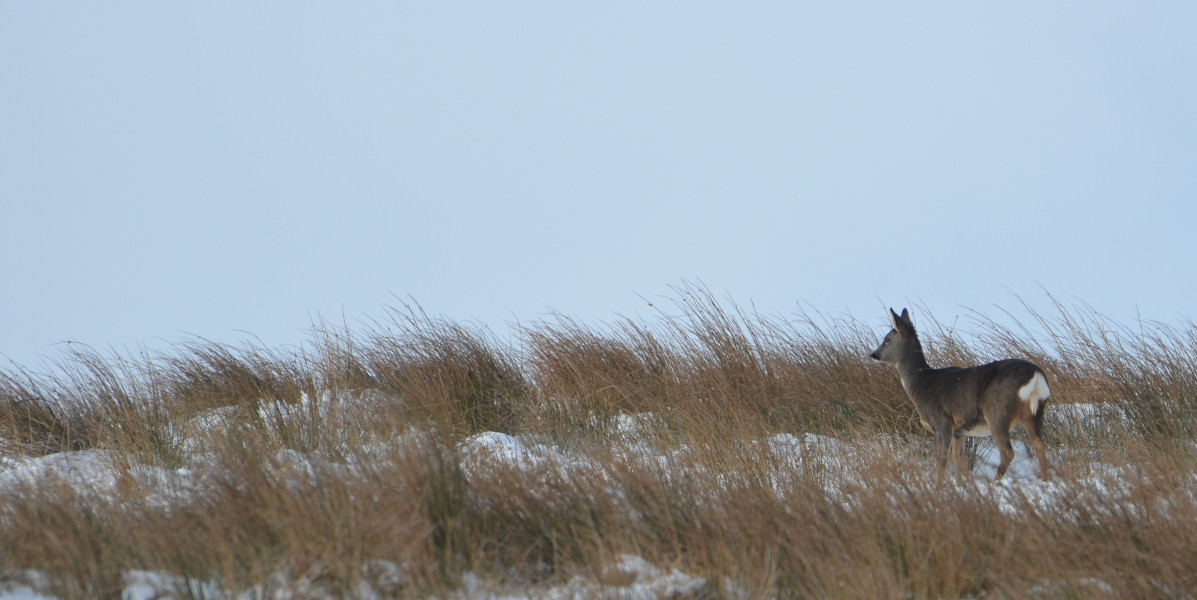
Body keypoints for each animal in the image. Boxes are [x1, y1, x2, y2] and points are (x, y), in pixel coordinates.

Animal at [870, 308, 1051, 480]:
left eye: (887, 339)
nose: (873, 354)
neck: (920, 382)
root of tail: (1036, 375)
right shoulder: (959, 431)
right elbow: (959, 461)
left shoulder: (942, 421)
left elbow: (942, 459)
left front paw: (939, 485)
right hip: (1034, 413)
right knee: (1040, 446)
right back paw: (1044, 480)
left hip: (997, 413)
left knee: (1008, 452)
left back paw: (995, 483)